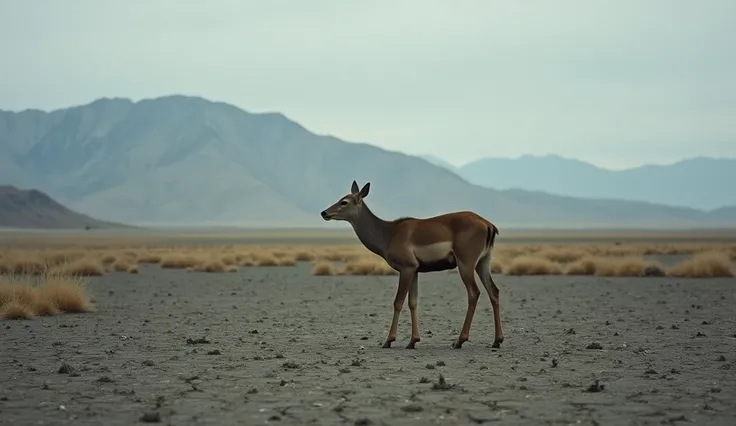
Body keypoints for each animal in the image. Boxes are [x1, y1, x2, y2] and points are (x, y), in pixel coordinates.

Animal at [320, 180, 504, 350]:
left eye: (344, 201)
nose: (324, 212)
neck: (389, 233)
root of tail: (487, 224)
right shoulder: (415, 271)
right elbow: (413, 302)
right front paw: (412, 341)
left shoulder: (406, 269)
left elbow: (398, 301)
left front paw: (389, 340)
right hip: (482, 263)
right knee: (494, 291)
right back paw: (497, 340)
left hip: (466, 265)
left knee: (474, 293)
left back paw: (459, 341)